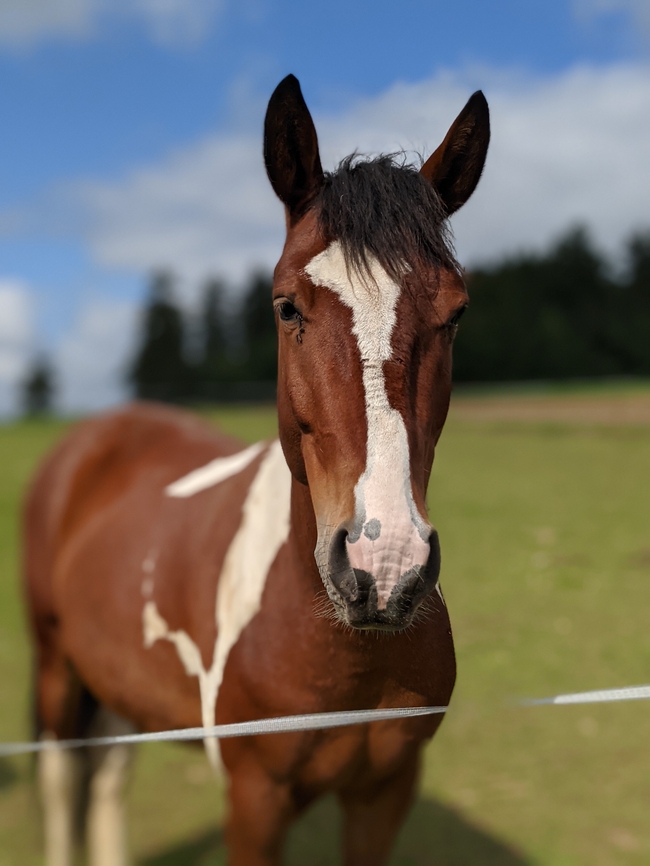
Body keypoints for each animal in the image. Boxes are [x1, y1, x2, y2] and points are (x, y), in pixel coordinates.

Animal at [24, 74, 489, 866]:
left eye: (455, 314)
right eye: (286, 307)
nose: (385, 563)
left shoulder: (384, 793)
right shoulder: (255, 800)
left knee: (110, 773)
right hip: (55, 664)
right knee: (62, 784)